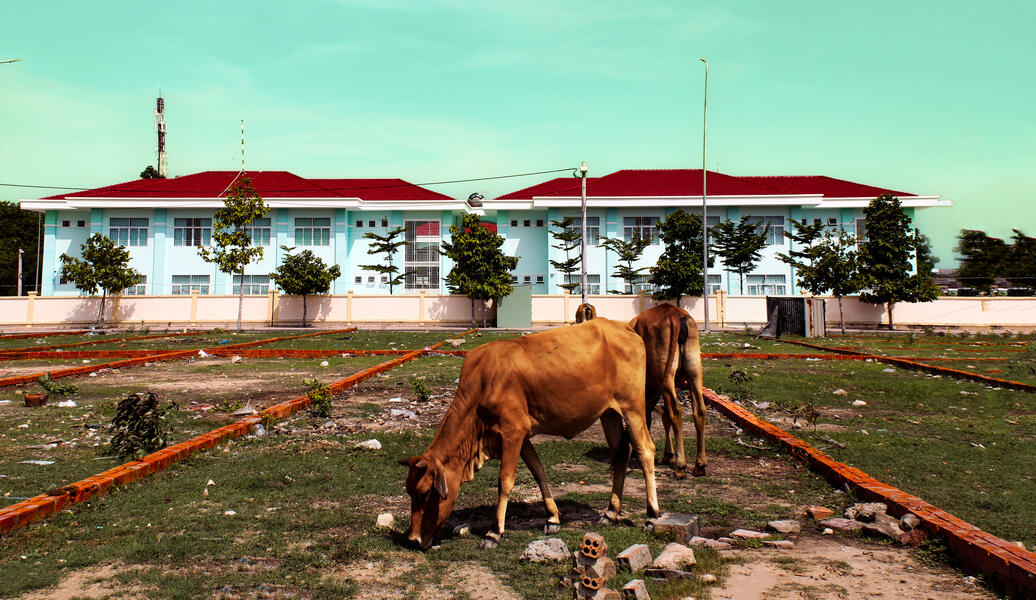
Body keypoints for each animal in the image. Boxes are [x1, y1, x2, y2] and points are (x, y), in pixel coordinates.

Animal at [399, 318, 659, 550]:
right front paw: (552, 518)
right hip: (609, 413)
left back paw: (652, 515)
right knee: (621, 453)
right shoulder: (520, 437)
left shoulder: (512, 431)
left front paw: (494, 533)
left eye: (424, 492)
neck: (482, 383)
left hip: (633, 408)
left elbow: (505, 481)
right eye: (409, 491)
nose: (413, 540)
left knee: (645, 449)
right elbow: (538, 470)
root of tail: (624, 327)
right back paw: (610, 513)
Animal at [629, 303, 707, 478]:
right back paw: (699, 465)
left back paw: (680, 466)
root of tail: (674, 313)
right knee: (698, 410)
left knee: (676, 410)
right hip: (693, 369)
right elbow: (663, 415)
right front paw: (668, 454)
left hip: (666, 372)